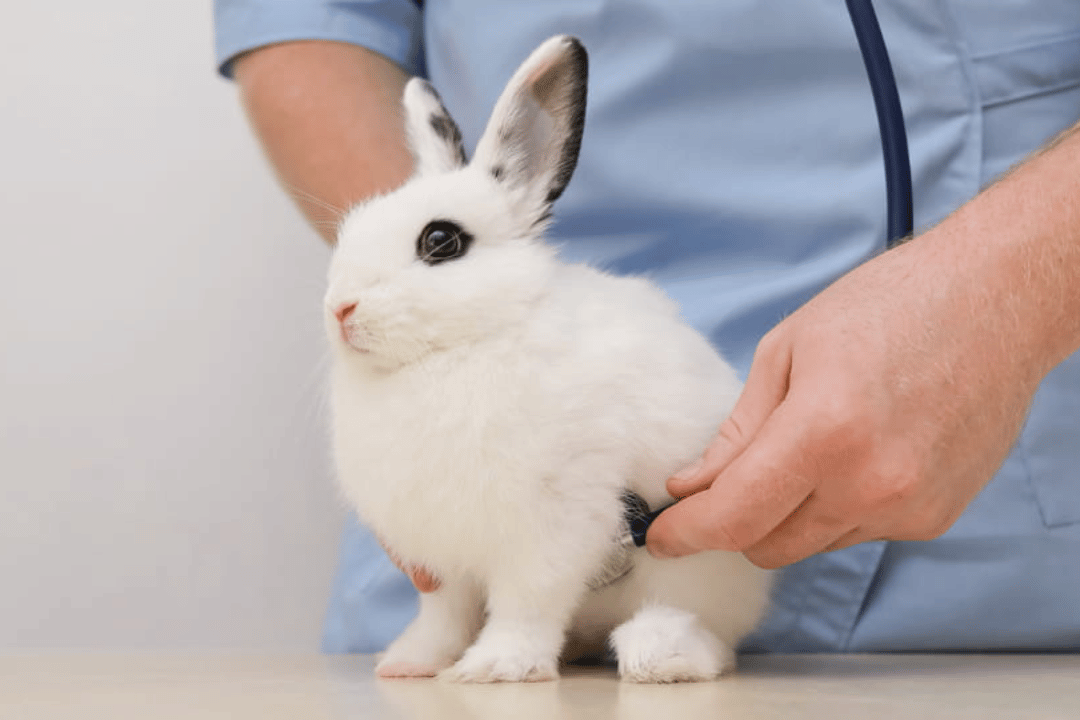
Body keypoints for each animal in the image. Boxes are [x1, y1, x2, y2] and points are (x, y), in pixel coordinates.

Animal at [324, 35, 772, 684]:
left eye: (440, 241)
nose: (340, 308)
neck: (461, 348)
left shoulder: (552, 529)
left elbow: (525, 604)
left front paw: (495, 667)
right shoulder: (442, 560)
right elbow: (445, 616)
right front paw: (412, 663)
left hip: (696, 568)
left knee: (707, 635)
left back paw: (658, 653)